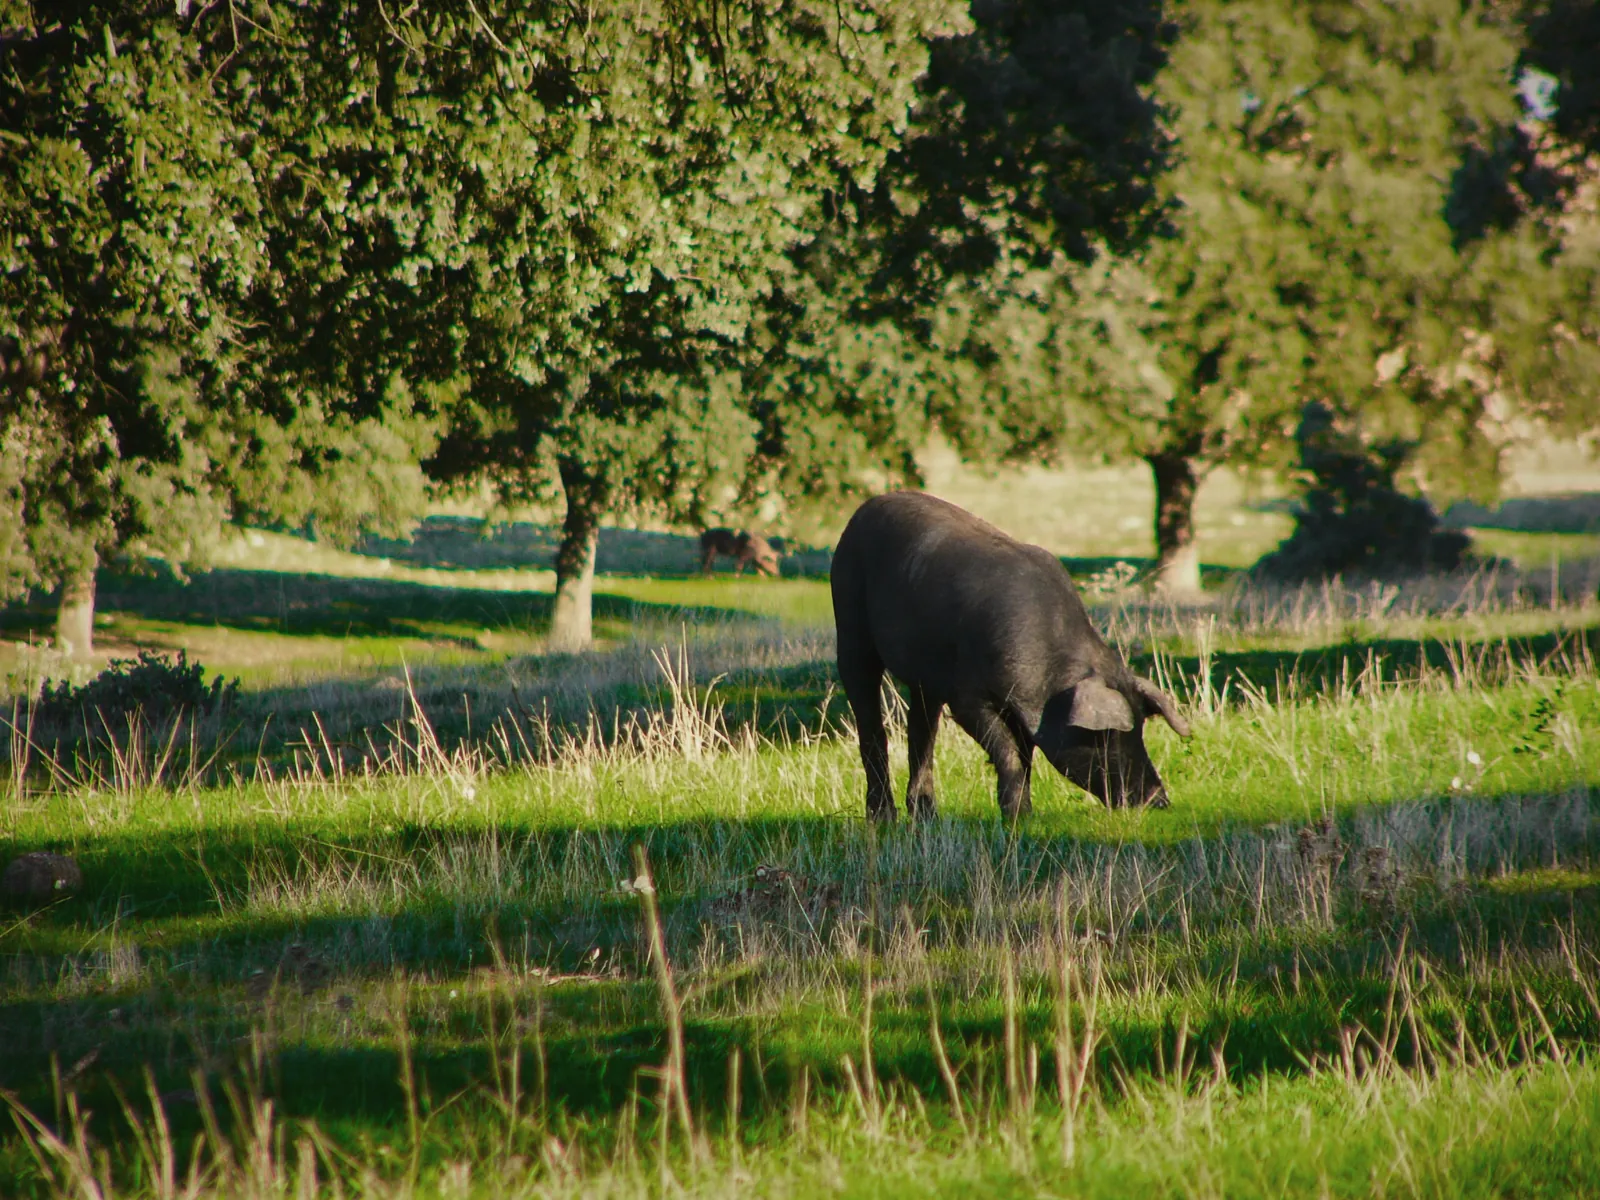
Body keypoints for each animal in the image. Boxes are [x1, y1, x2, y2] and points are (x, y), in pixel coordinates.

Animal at [831, 492, 1191, 820]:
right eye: (1110, 737)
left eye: (1141, 729)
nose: (1159, 800)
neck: (1049, 676)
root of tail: (866, 507)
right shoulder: (968, 697)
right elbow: (1007, 752)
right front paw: (1016, 816)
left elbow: (1025, 755)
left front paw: (1024, 814)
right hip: (848, 616)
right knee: (869, 718)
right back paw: (882, 817)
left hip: (925, 677)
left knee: (921, 731)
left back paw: (926, 815)